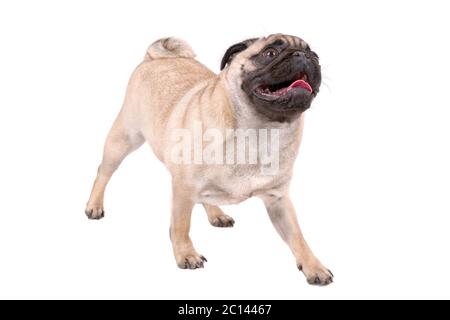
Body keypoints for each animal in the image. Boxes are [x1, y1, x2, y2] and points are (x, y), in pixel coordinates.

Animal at [84, 34, 332, 284]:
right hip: (124, 139)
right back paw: (94, 205)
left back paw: (217, 214)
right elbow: (181, 226)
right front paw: (186, 254)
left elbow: (297, 236)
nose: (303, 56)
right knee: (103, 173)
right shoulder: (183, 190)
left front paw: (313, 266)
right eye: (269, 53)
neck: (261, 131)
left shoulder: (278, 200)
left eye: (316, 56)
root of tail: (155, 58)